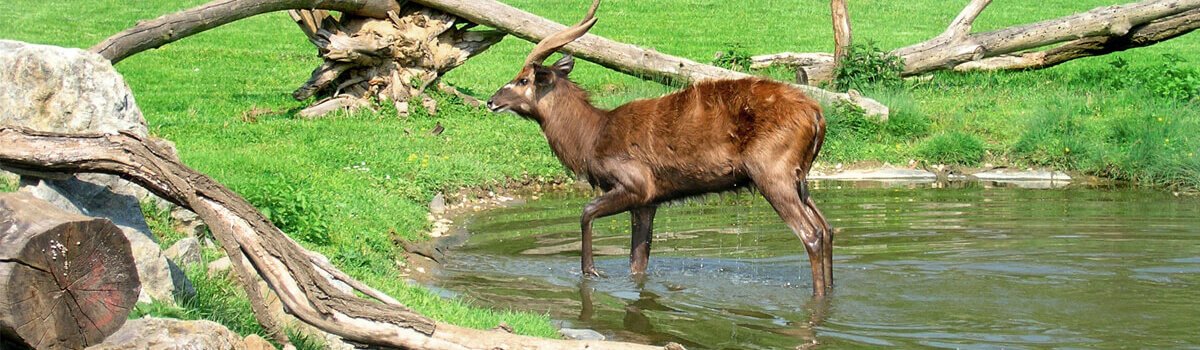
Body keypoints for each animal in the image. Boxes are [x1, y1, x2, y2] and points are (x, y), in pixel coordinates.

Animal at [487, 0, 835, 294]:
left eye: (523, 80)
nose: (491, 101)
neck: (592, 137)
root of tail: (817, 116)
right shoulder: (648, 202)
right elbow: (637, 262)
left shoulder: (636, 185)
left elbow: (586, 213)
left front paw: (591, 271)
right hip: (799, 177)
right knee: (828, 228)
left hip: (772, 174)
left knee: (812, 234)